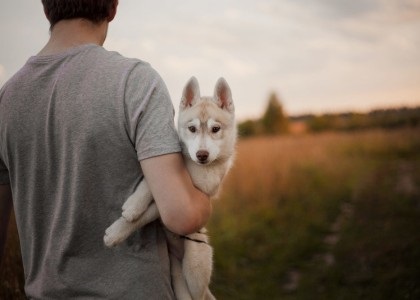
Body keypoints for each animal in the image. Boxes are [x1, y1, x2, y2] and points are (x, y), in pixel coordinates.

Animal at [104, 77, 236, 300]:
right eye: (192, 129)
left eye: (215, 129)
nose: (201, 155)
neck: (194, 166)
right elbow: (147, 185)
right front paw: (133, 205)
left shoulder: (185, 197)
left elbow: (145, 215)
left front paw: (117, 232)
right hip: (177, 274)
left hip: (194, 266)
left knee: (200, 295)